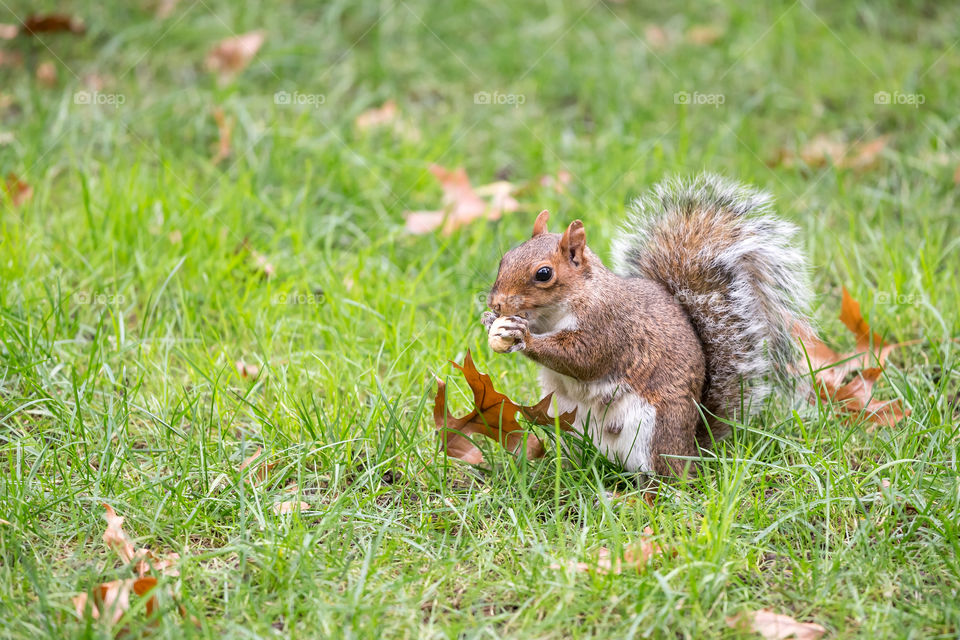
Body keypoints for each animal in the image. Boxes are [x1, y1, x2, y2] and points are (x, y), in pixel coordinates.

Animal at [481, 174, 812, 478]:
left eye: (544, 273)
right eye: (504, 259)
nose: (496, 304)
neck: (559, 309)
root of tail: (692, 451)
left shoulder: (608, 325)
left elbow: (581, 358)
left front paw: (523, 337)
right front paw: (490, 322)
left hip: (655, 428)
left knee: (667, 477)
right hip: (566, 422)